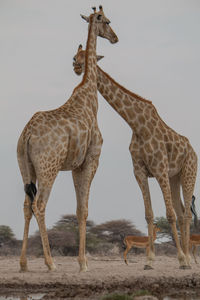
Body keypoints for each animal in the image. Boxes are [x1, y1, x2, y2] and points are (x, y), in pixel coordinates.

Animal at [17, 5, 118, 272]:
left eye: (76, 57)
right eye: (107, 21)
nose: (115, 38)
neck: (89, 96)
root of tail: (26, 134)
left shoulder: (75, 165)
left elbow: (79, 207)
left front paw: (83, 262)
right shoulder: (92, 160)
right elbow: (83, 209)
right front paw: (83, 264)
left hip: (26, 168)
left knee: (26, 206)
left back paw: (23, 263)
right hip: (48, 167)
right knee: (39, 205)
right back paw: (50, 263)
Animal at [73, 45, 197, 270]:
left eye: (88, 56)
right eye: (75, 55)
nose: (76, 65)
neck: (138, 125)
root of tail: (193, 150)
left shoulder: (160, 169)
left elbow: (169, 214)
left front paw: (181, 259)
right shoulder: (139, 171)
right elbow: (149, 214)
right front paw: (149, 261)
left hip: (188, 172)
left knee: (184, 213)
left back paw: (187, 260)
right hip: (174, 177)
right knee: (182, 211)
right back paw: (187, 257)